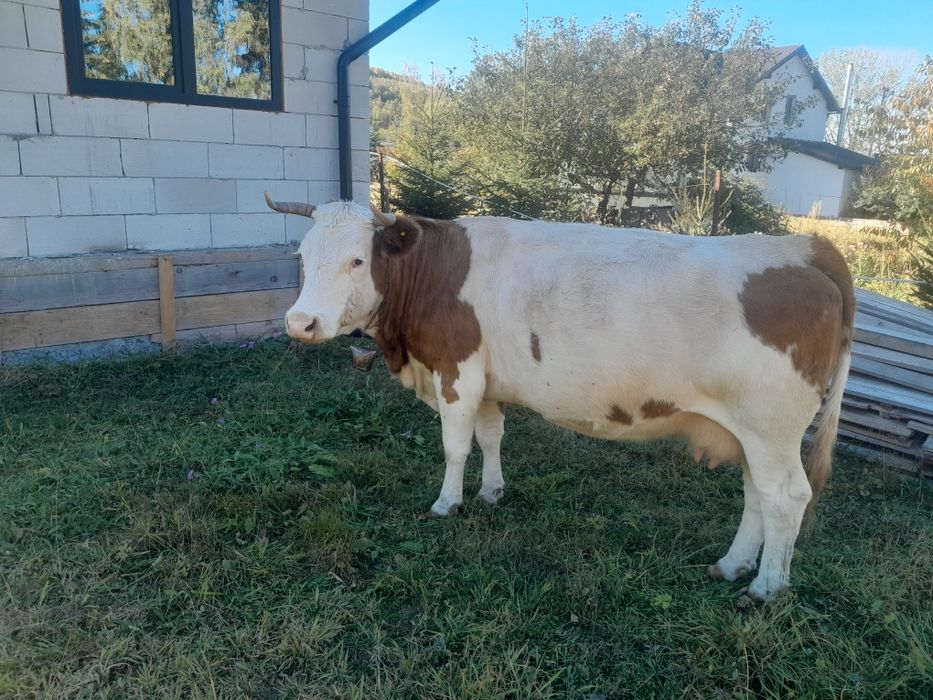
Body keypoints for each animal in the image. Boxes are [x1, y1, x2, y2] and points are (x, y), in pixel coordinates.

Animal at [264, 193, 854, 602]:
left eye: (357, 261)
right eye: (302, 256)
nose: (300, 323)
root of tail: (804, 246)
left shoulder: (456, 373)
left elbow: (455, 447)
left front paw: (447, 503)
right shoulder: (488, 382)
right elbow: (491, 438)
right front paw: (492, 491)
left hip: (773, 428)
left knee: (787, 498)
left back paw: (767, 587)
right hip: (750, 432)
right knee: (758, 494)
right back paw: (733, 565)